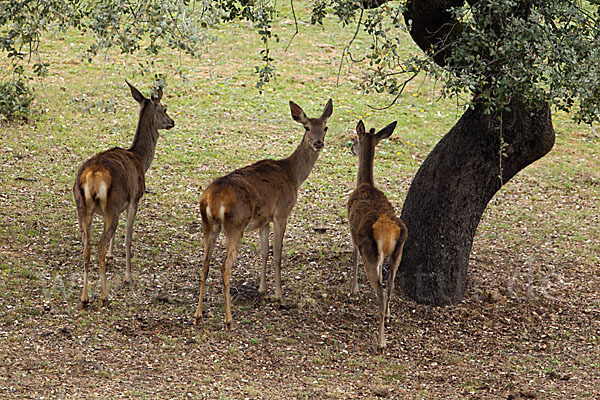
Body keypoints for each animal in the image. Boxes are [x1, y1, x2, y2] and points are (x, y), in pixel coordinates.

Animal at [73, 79, 173, 308]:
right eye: (164, 109)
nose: (172, 122)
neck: (141, 159)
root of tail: (92, 177)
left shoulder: (116, 207)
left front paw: (112, 257)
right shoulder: (134, 199)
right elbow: (128, 236)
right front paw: (129, 276)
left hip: (82, 206)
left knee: (86, 246)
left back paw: (84, 297)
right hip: (111, 203)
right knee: (98, 245)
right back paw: (104, 295)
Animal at [195, 98, 332, 330]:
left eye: (325, 127)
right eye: (306, 127)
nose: (318, 143)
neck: (293, 176)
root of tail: (213, 200)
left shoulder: (264, 220)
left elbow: (264, 252)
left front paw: (262, 290)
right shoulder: (281, 213)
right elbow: (277, 254)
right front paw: (279, 296)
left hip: (209, 225)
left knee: (204, 264)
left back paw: (198, 315)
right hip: (235, 225)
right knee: (225, 266)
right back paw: (229, 320)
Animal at [346, 120, 408, 352]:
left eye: (356, 139)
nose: (351, 148)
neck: (365, 184)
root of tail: (388, 229)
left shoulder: (352, 231)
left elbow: (353, 257)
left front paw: (353, 291)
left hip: (370, 251)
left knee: (380, 291)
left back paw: (380, 342)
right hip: (398, 252)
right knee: (390, 285)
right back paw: (388, 316)